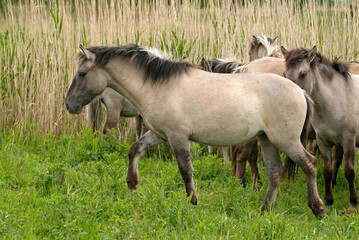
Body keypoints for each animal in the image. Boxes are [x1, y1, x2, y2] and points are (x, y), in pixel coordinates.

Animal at [64, 43, 326, 218]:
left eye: (81, 74)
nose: (69, 105)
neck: (158, 85)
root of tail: (300, 91)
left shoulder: (177, 137)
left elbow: (185, 171)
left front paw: (193, 202)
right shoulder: (160, 134)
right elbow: (134, 149)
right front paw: (132, 183)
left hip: (286, 141)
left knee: (310, 164)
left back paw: (318, 208)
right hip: (267, 140)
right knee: (274, 174)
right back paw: (264, 212)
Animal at [282, 46, 359, 209]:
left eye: (303, 74)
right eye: (284, 74)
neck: (337, 98)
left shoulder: (348, 141)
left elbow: (349, 171)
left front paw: (353, 201)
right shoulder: (323, 142)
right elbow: (327, 171)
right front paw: (329, 200)